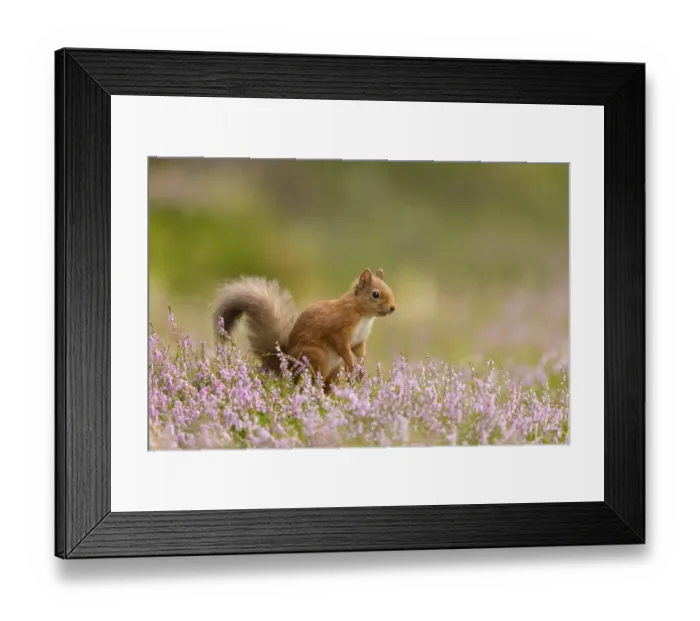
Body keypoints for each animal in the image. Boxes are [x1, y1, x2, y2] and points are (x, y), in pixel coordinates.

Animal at [212, 268, 396, 391]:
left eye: (390, 290)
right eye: (375, 294)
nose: (393, 308)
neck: (363, 315)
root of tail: (285, 366)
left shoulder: (360, 340)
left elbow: (360, 351)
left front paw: (361, 367)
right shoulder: (338, 330)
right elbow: (343, 348)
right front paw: (352, 363)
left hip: (336, 368)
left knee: (327, 385)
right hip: (317, 356)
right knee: (315, 382)